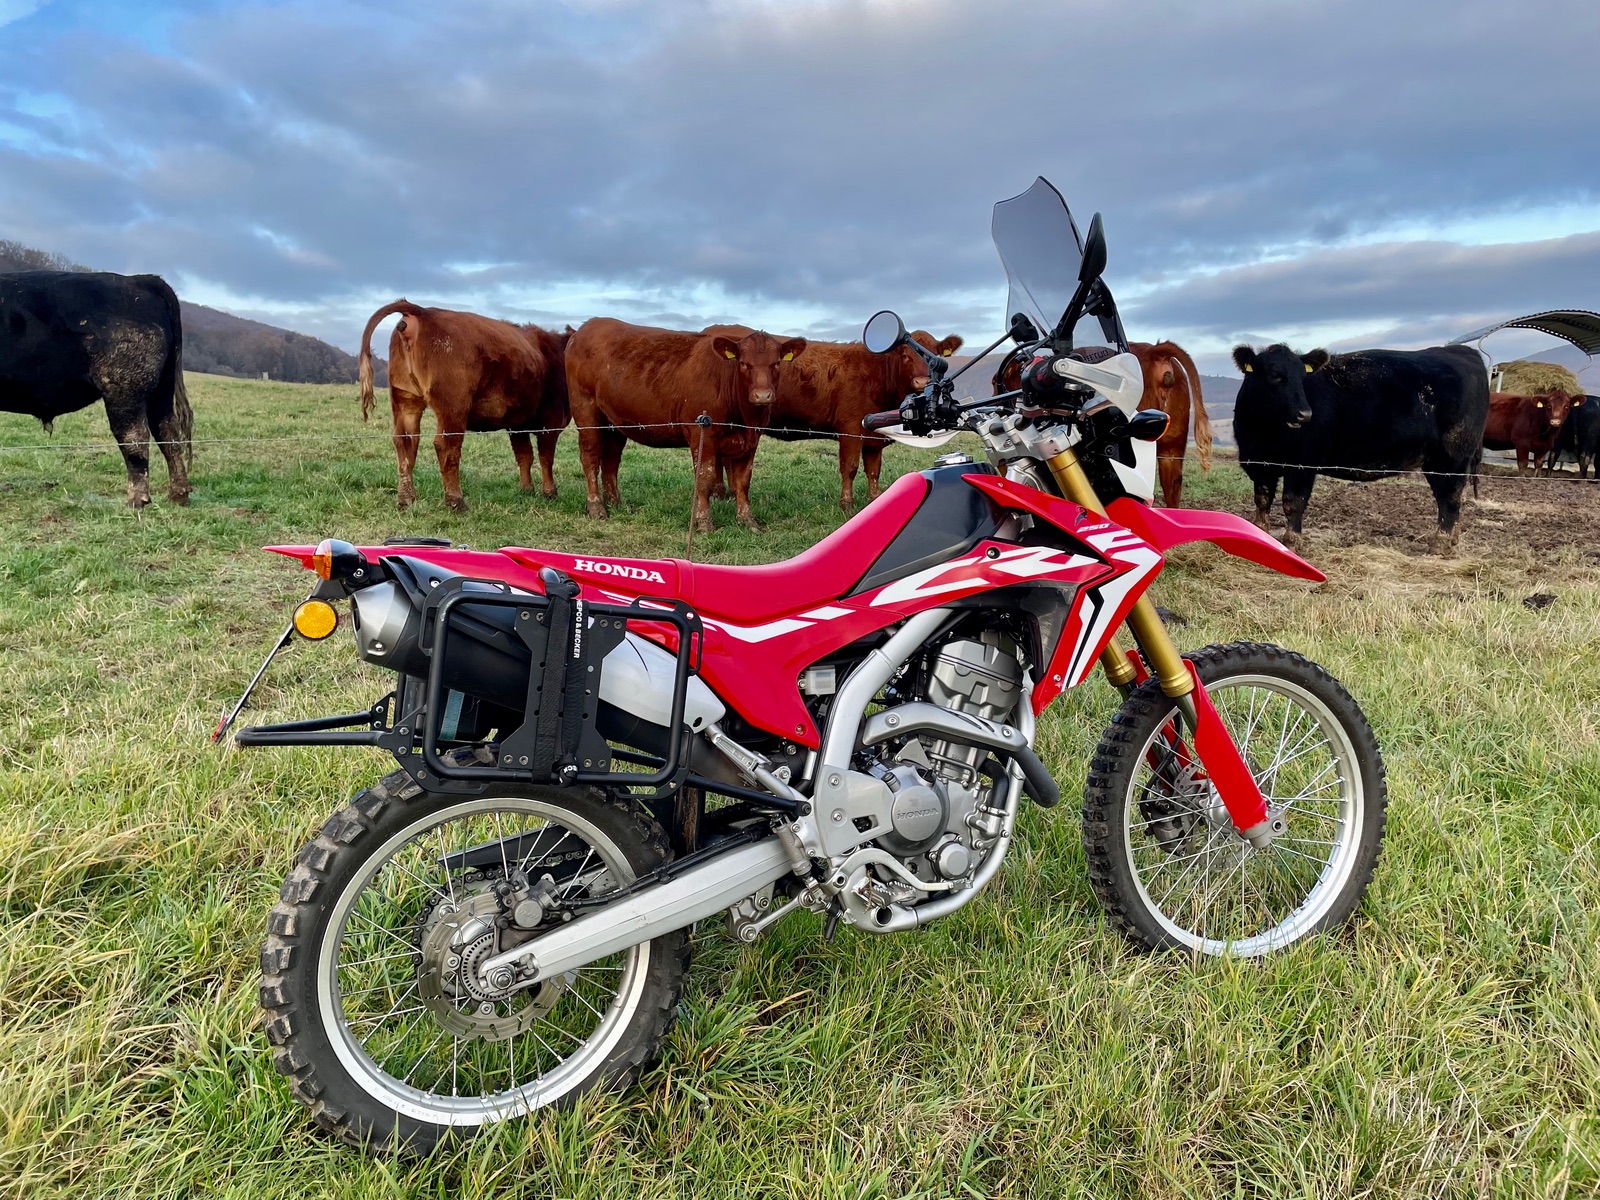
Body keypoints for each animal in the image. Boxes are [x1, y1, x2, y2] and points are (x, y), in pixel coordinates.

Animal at [0, 271, 192, 506]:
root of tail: (137, 279)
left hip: (125, 391)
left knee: (135, 438)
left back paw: (136, 501)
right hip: (161, 391)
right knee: (168, 434)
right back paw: (178, 495)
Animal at [357, 301, 570, 512]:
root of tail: (422, 310)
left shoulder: (517, 423)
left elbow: (524, 455)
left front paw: (526, 490)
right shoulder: (552, 418)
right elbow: (546, 457)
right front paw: (550, 492)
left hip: (405, 400)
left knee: (406, 443)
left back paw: (406, 499)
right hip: (453, 406)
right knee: (446, 446)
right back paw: (456, 501)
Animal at [564, 318, 806, 533]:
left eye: (777, 363)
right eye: (743, 363)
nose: (762, 395)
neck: (743, 420)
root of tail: (585, 328)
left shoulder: (751, 440)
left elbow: (743, 482)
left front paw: (748, 522)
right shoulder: (702, 434)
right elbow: (705, 478)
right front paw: (704, 523)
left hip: (614, 422)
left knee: (611, 460)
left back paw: (616, 504)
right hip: (586, 410)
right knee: (590, 457)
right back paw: (596, 507)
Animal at [1231, 342, 1490, 552]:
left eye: (1303, 378)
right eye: (1275, 376)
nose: (1305, 413)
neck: (1260, 433)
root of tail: (1461, 350)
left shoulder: (1303, 463)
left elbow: (1293, 502)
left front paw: (1291, 542)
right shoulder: (1260, 464)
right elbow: (1262, 500)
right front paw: (1259, 533)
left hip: (1452, 455)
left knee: (1450, 498)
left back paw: (1441, 544)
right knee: (1450, 496)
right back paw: (1452, 539)